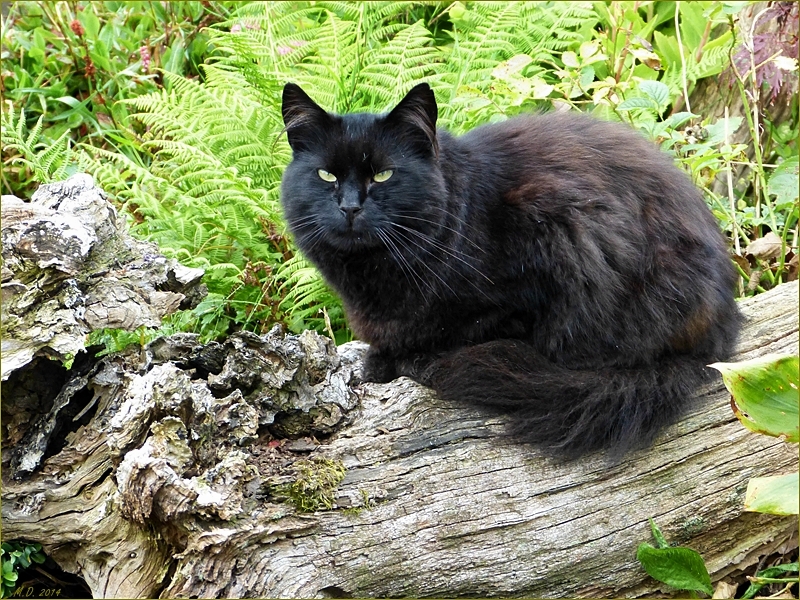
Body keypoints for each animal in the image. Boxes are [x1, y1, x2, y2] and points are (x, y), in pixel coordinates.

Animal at [278, 82, 740, 458]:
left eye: (384, 175)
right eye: (326, 176)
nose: (350, 207)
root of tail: (720, 331)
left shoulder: (525, 279)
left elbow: (462, 330)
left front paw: (397, 360)